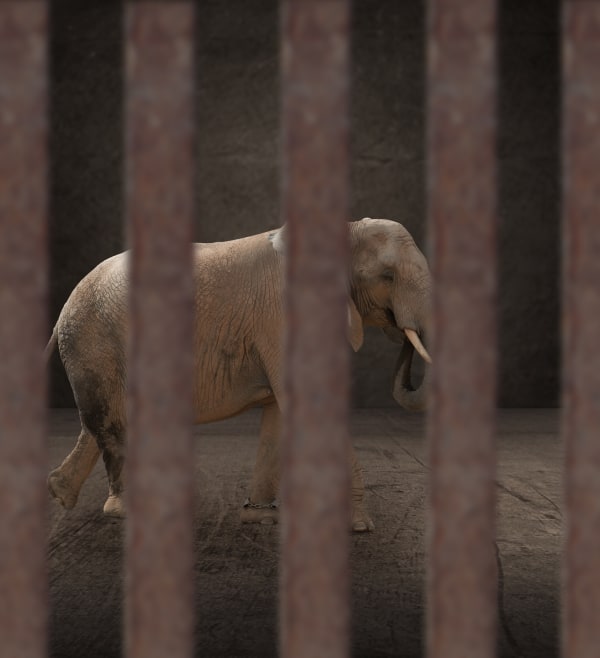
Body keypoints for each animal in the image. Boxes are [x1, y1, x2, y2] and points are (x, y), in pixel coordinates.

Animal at [45, 217, 432, 532]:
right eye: (388, 276)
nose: (402, 332)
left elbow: (278, 416)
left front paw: (260, 518)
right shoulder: (283, 316)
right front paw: (361, 527)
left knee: (103, 421)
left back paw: (60, 494)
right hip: (94, 339)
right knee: (109, 421)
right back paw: (124, 510)